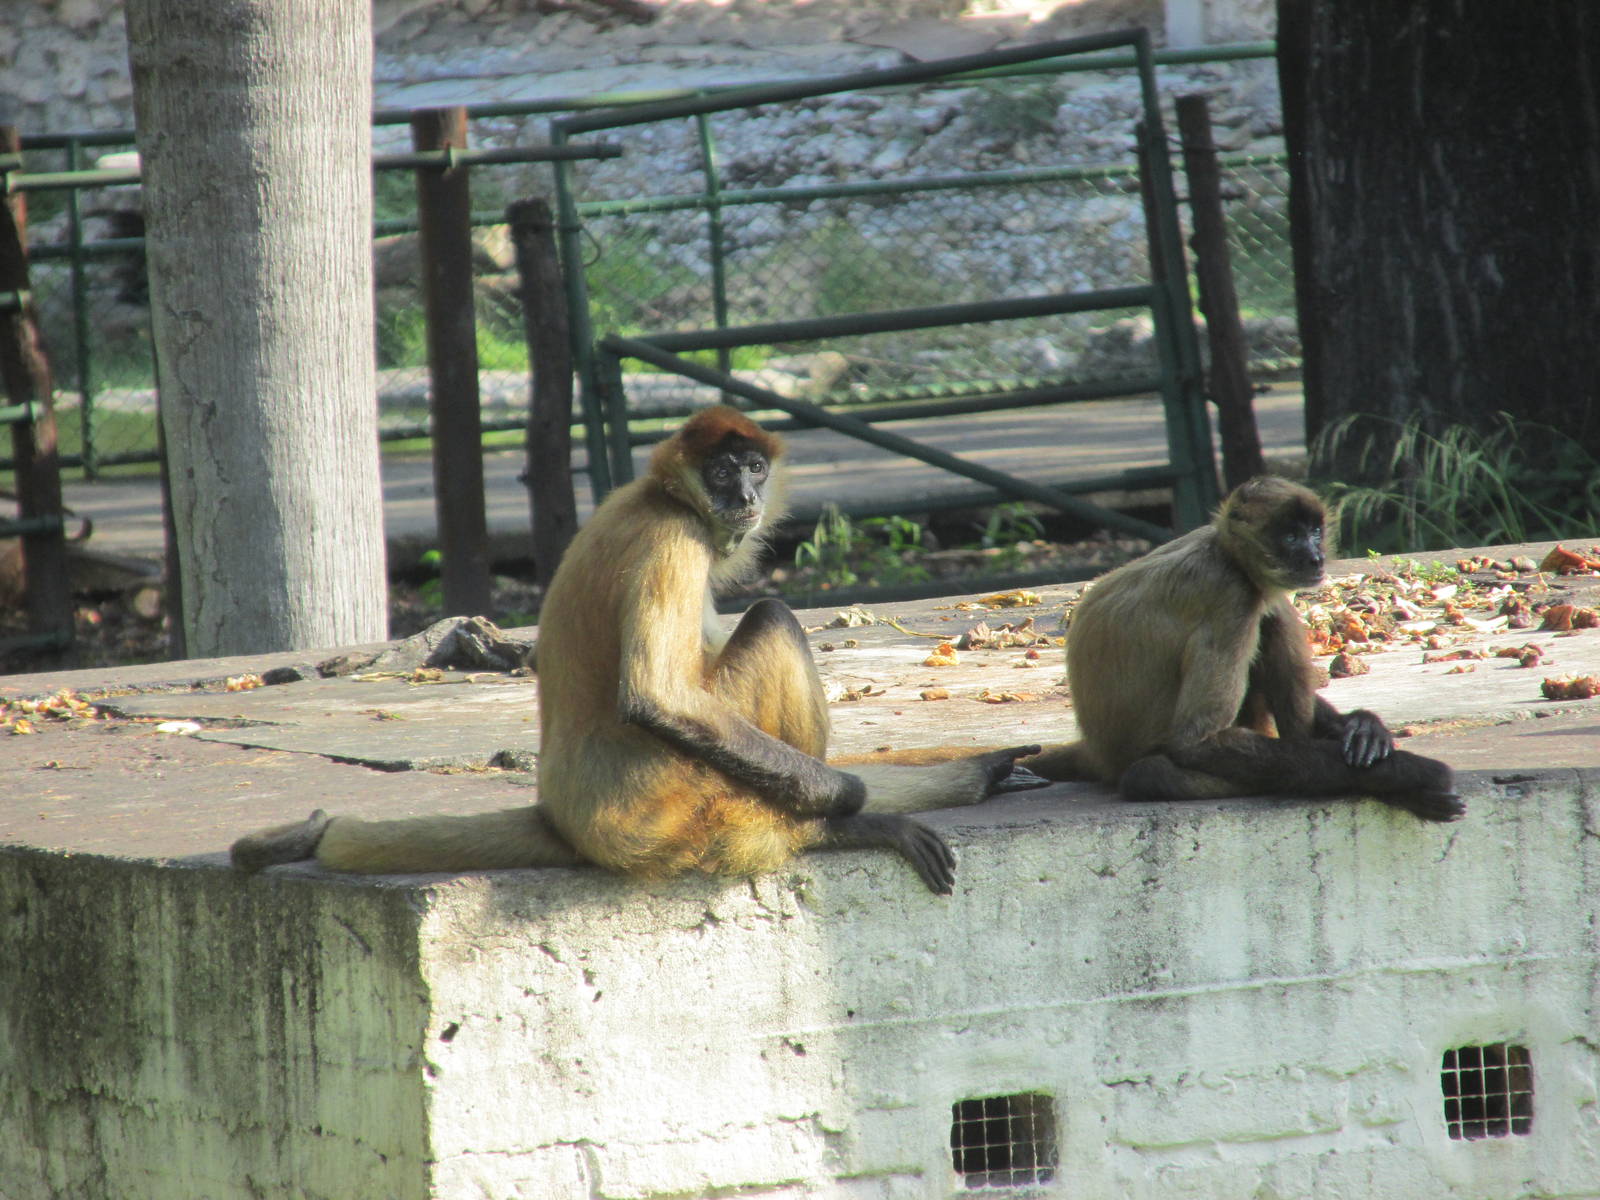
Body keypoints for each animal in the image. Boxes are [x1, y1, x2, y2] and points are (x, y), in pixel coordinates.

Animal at [232, 406, 1043, 893]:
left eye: (754, 467)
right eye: (722, 471)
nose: (745, 495)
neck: (661, 497)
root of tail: (562, 813)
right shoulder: (673, 538)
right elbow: (658, 695)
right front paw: (849, 801)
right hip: (672, 799)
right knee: (773, 619)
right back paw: (827, 831)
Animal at [1026, 476, 1463, 822]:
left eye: (1313, 532)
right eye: (1290, 537)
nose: (1315, 557)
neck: (1224, 553)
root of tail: (1098, 752)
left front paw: (1361, 727)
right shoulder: (1232, 596)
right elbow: (1196, 741)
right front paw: (1410, 773)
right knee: (1148, 774)